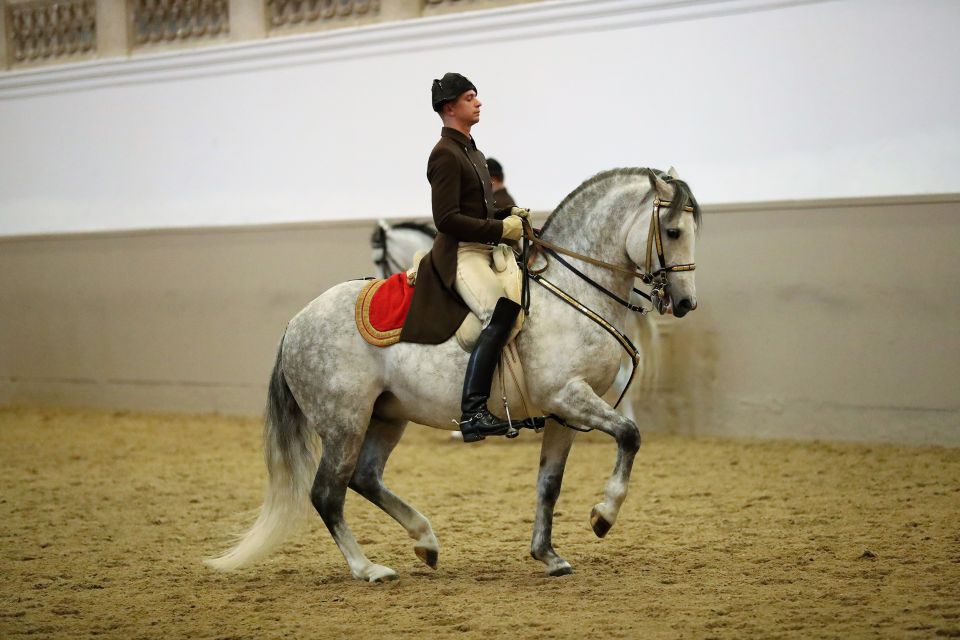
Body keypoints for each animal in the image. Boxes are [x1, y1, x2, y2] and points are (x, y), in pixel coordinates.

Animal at [208, 168, 696, 584]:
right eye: (672, 231)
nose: (685, 303)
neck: (575, 291)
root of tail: (296, 322)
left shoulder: (565, 413)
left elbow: (550, 484)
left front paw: (549, 556)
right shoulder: (568, 396)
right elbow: (629, 435)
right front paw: (603, 516)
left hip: (387, 415)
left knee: (364, 477)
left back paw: (425, 541)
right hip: (343, 421)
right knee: (328, 493)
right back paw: (369, 569)